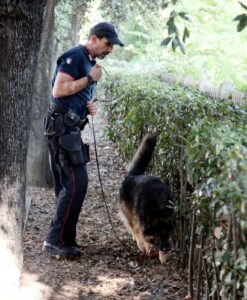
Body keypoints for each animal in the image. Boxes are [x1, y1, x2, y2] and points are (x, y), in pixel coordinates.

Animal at [119, 134, 174, 262]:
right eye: (157, 235)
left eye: (167, 233)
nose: (166, 249)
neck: (158, 208)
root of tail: (132, 175)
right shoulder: (140, 221)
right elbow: (142, 235)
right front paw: (145, 246)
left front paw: (163, 256)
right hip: (130, 214)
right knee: (132, 226)